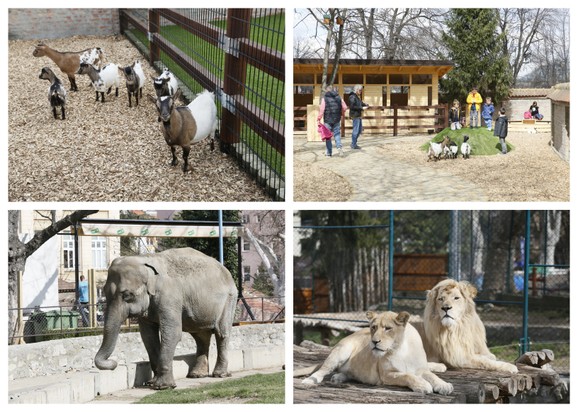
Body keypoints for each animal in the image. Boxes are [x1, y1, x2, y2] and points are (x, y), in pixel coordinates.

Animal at [94, 248, 236, 390]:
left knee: (221, 333)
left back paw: (220, 374)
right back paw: (197, 375)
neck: (145, 259)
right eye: (104, 293)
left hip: (229, 300)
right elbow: (148, 336)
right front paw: (152, 383)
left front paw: (162, 387)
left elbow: (172, 333)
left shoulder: (169, 297)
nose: (113, 363)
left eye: (127, 295)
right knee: (200, 336)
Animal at [300, 310, 452, 394]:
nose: (374, 341)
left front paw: (444, 385)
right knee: (324, 369)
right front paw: (423, 385)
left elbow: (433, 376)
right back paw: (309, 380)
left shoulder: (421, 369)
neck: (400, 348)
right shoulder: (386, 375)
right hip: (342, 350)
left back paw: (338, 377)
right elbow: (408, 376)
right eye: (373, 327)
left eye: (387, 328)